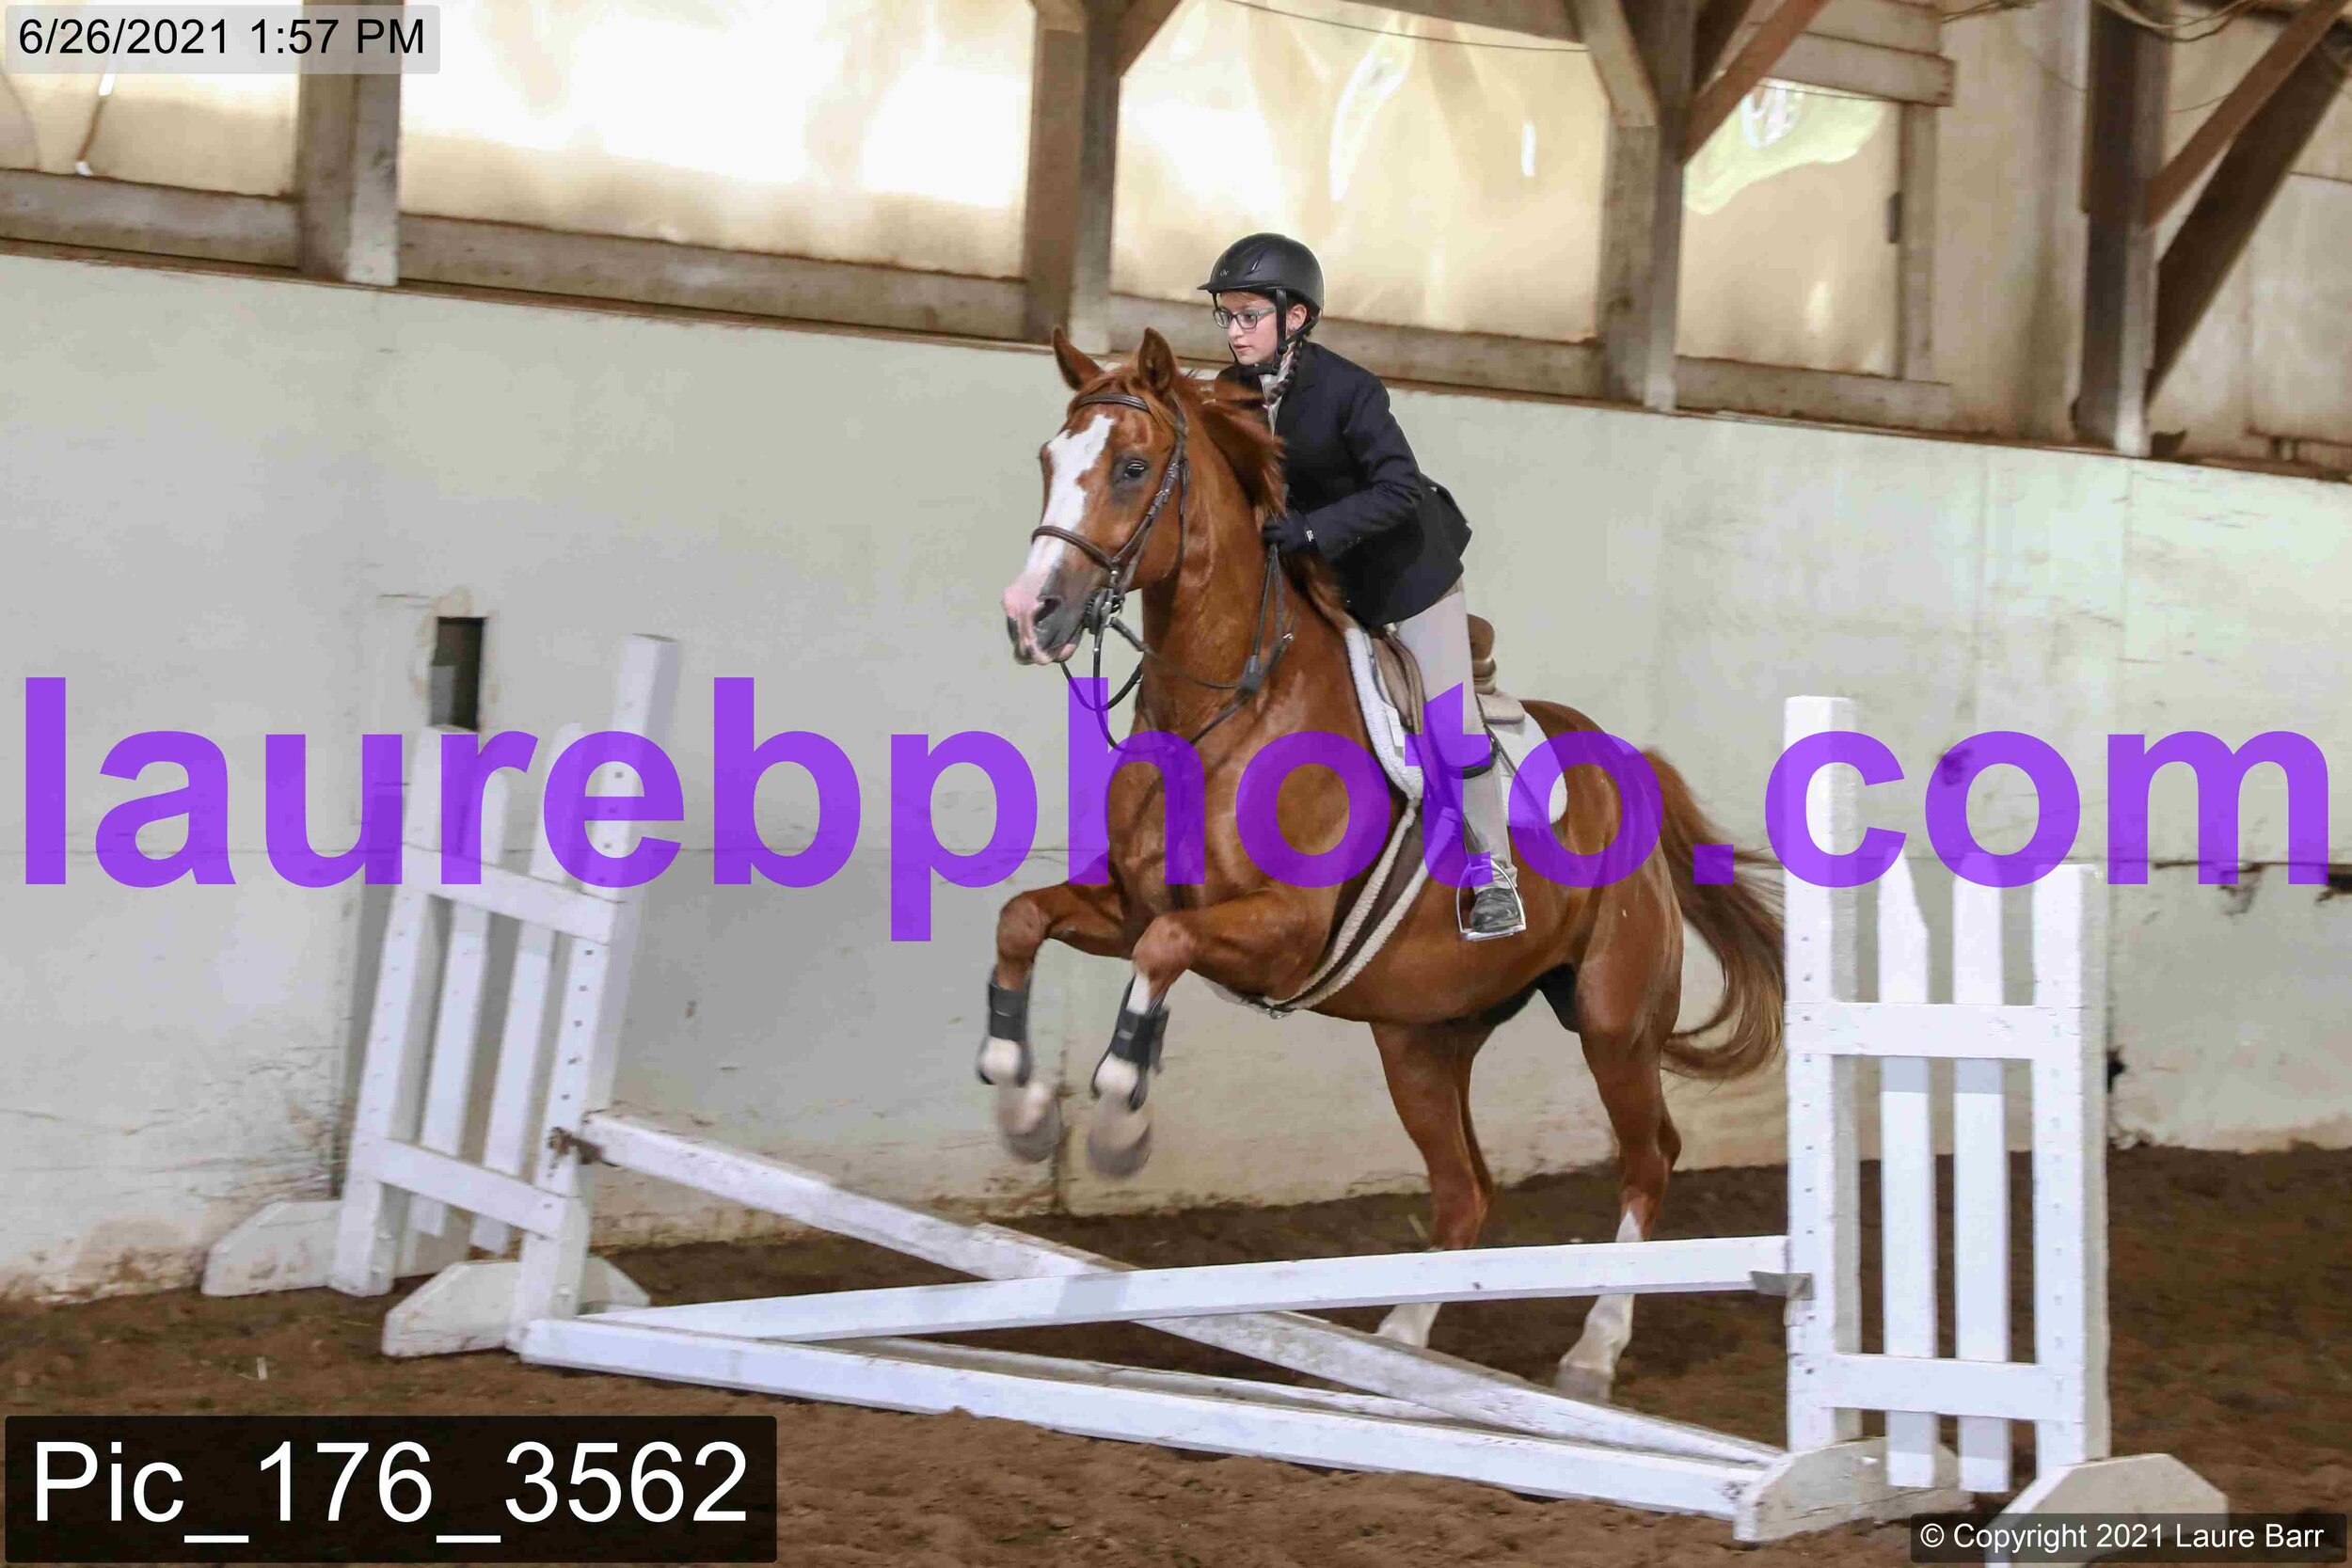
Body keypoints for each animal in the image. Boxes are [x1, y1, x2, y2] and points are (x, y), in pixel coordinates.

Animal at [980, 326, 1783, 1400]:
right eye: (1048, 460)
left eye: (1133, 469)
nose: (1031, 614)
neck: (1225, 708)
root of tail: (1632, 766)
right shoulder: (1123, 900)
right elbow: (1026, 917)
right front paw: (1023, 1105)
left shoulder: (1278, 931)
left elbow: (1163, 951)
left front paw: (1116, 1123)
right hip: (1421, 1036)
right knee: (1464, 1187)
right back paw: (1403, 1339)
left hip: (1614, 1021)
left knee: (1649, 1157)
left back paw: (1592, 1347)